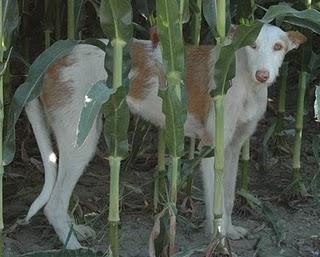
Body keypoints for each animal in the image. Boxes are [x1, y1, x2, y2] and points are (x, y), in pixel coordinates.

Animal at [23, 24, 304, 248]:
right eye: (252, 45)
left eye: (278, 47)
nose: (263, 75)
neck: (244, 78)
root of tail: (49, 62)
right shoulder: (210, 149)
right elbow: (216, 204)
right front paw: (219, 241)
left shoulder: (233, 148)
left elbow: (228, 198)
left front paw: (230, 231)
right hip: (80, 143)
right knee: (54, 205)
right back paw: (73, 246)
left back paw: (75, 233)